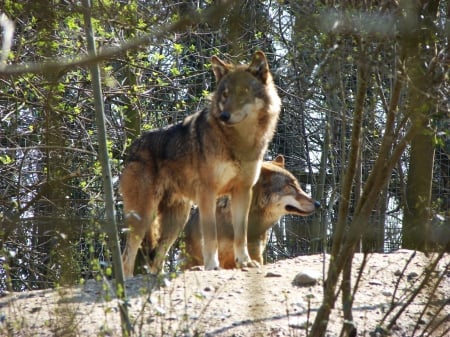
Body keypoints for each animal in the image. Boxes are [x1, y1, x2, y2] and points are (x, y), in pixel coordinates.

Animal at [121, 50, 280, 276]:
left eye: (244, 92)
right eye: (225, 94)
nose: (224, 116)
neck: (239, 142)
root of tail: (132, 148)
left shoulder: (243, 190)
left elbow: (241, 234)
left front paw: (245, 262)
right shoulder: (208, 192)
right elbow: (211, 235)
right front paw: (212, 265)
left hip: (177, 221)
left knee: (156, 258)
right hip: (144, 216)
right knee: (128, 256)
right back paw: (126, 280)